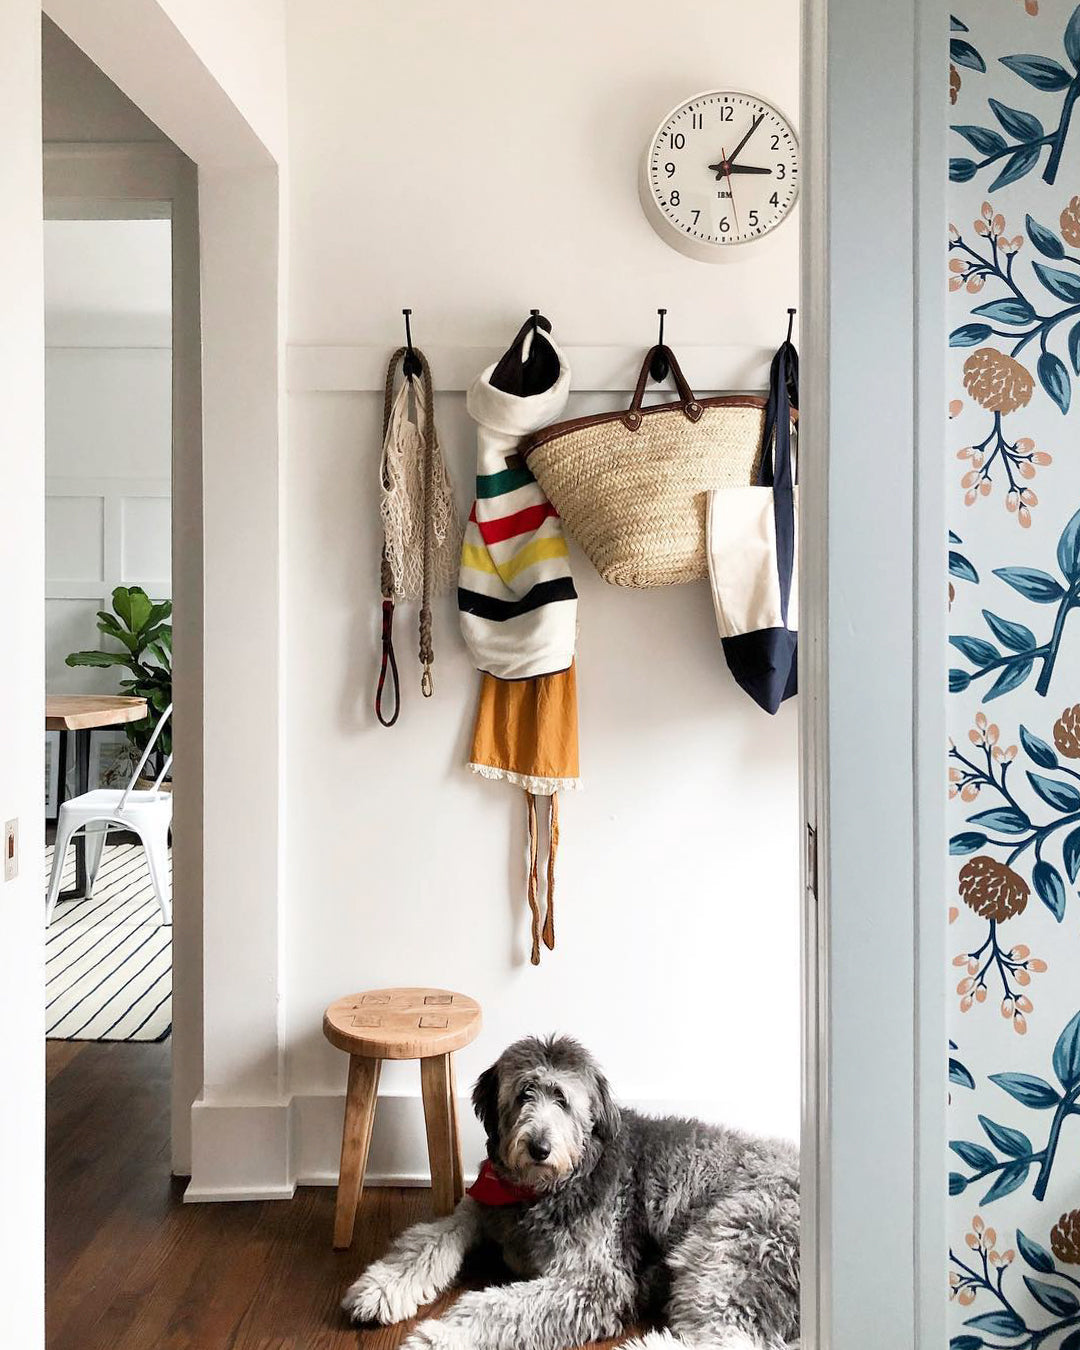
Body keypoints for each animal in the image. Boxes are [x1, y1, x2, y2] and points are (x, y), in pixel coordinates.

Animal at [341, 1036, 799, 1344]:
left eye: (563, 1100)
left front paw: (438, 1337)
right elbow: (427, 1240)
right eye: (525, 1092)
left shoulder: (596, 1280)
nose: (539, 1148)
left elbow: (497, 1305)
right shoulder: (481, 1206)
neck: (543, 1190)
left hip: (732, 1246)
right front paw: (380, 1287)